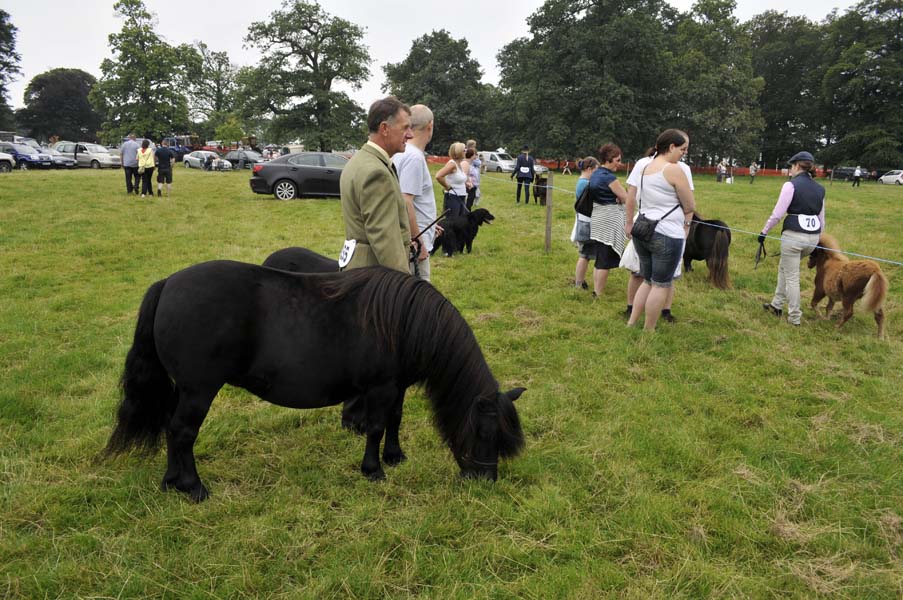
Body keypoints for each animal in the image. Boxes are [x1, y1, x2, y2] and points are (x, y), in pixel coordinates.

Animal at [106, 262, 528, 502]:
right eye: (485, 432)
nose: (485, 480)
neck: (407, 322)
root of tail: (168, 284)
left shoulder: (396, 387)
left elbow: (394, 420)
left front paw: (394, 456)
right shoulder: (380, 388)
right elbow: (376, 426)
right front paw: (373, 470)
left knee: (171, 427)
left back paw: (170, 480)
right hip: (198, 390)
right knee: (182, 431)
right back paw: (192, 486)